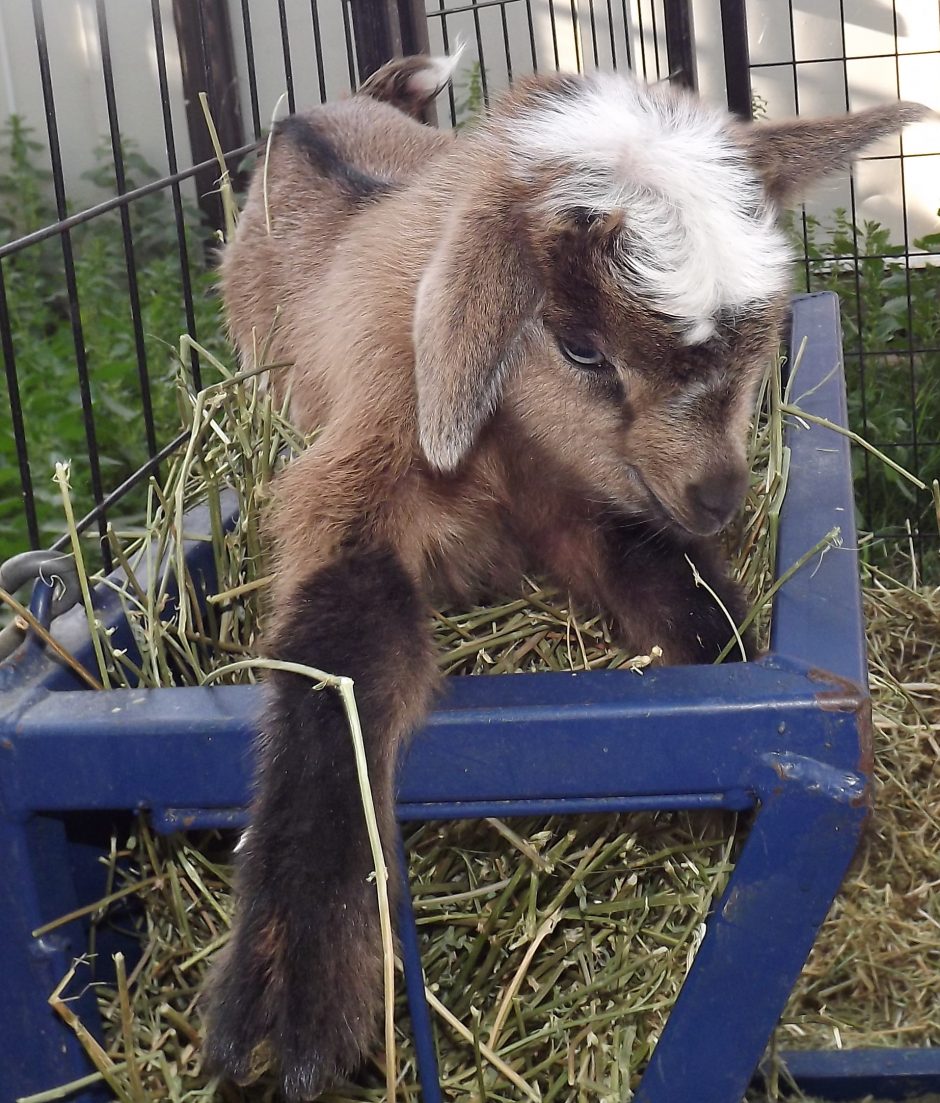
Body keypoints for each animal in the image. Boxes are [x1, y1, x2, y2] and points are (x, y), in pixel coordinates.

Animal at [204, 54, 926, 1099]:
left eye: (762, 335)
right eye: (582, 345)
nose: (719, 494)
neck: (501, 442)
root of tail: (329, 107)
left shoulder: (593, 502)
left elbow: (685, 600)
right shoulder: (354, 478)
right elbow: (336, 660)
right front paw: (289, 992)